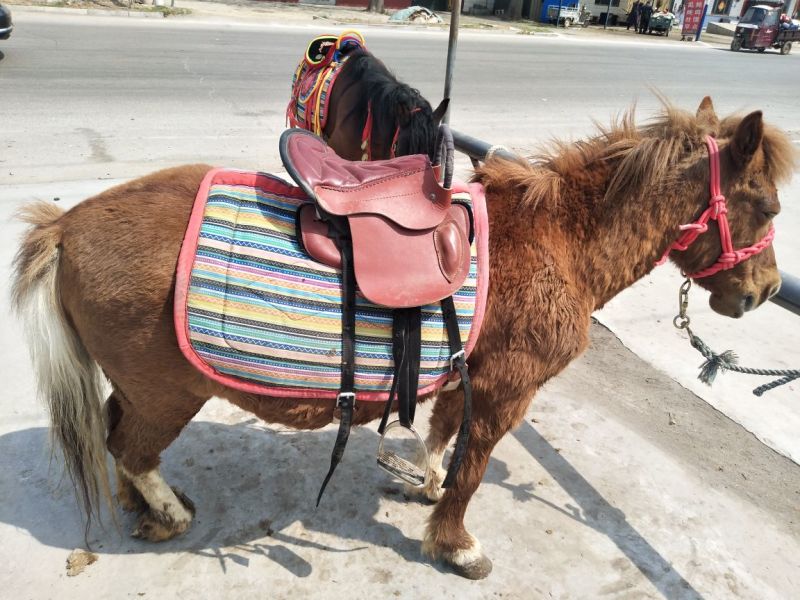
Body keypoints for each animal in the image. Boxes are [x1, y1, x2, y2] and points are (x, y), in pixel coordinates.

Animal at [11, 97, 794, 579]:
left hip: (140, 387)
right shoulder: (507, 391)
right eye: (766, 204)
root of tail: (68, 224)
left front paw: (427, 484)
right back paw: (167, 513)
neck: (559, 241)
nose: (762, 292)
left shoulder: (466, 373)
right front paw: (455, 544)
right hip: (168, 392)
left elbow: (444, 434)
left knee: (116, 433)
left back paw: (143, 505)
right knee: (130, 447)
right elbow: (474, 468)